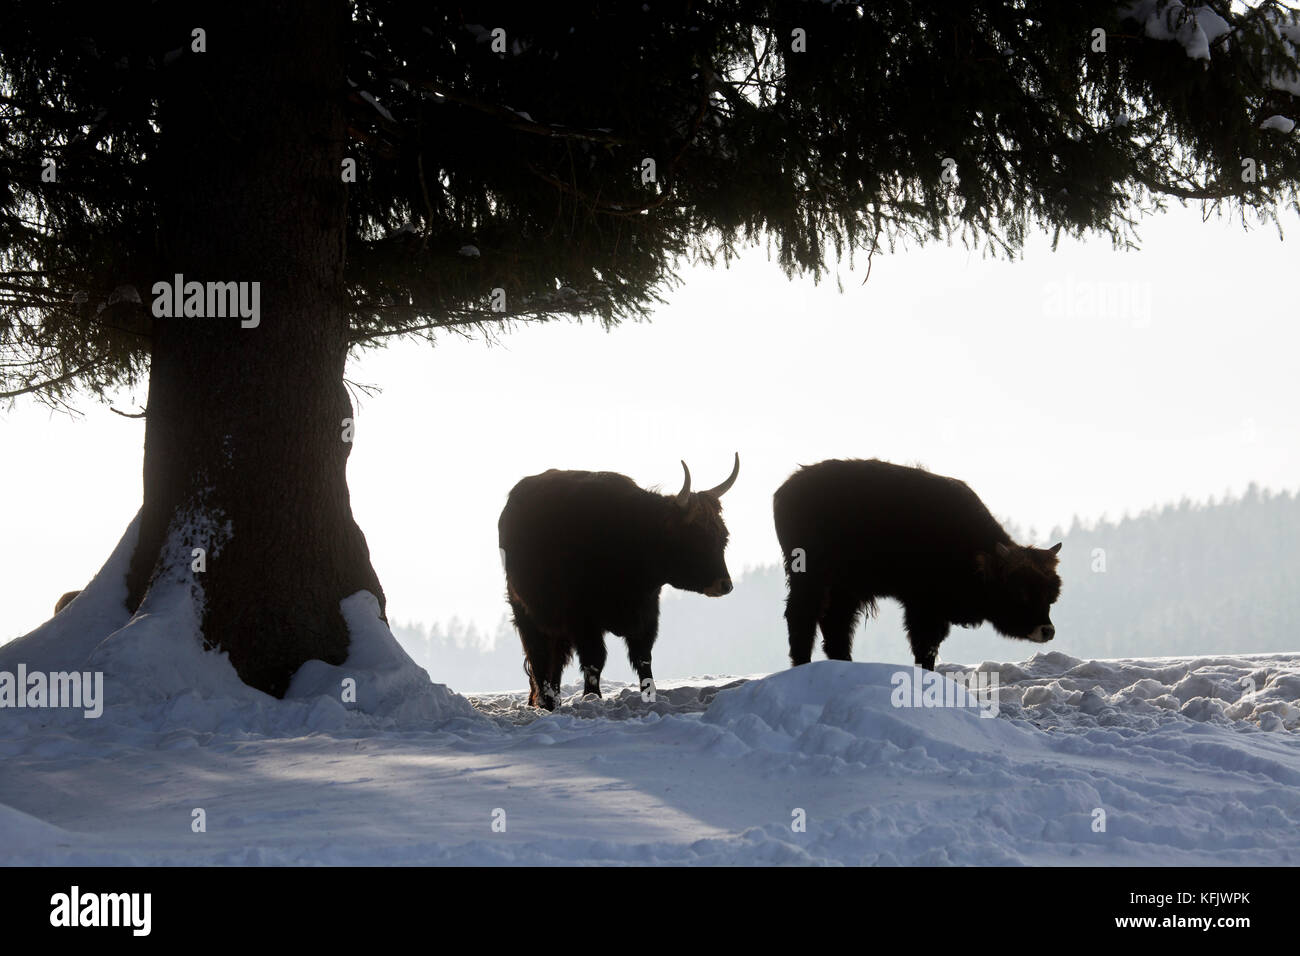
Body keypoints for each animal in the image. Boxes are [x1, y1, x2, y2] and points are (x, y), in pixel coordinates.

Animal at [499, 455, 738, 712]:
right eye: (696, 538)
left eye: (722, 537)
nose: (725, 585)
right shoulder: (583, 620)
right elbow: (594, 662)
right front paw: (592, 698)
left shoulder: (646, 615)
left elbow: (643, 659)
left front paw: (650, 697)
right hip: (526, 612)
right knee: (539, 656)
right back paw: (546, 702)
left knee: (555, 660)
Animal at [769, 457, 1055, 671]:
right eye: (1020, 592)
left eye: (1050, 595)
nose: (1047, 630)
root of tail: (785, 490)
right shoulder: (923, 606)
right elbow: (924, 644)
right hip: (810, 577)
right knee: (802, 615)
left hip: (845, 589)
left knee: (835, 625)